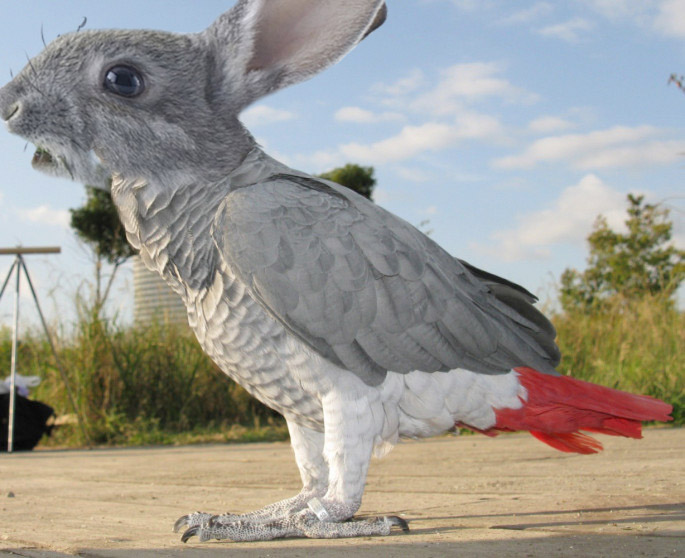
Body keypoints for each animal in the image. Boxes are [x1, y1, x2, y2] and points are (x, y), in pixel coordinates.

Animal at [0, 0, 671, 544]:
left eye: (123, 79)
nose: (10, 103)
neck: (205, 208)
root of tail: (534, 356)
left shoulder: (337, 377)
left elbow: (337, 496)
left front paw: (306, 523)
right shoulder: (293, 401)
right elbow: (308, 474)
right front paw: (251, 513)